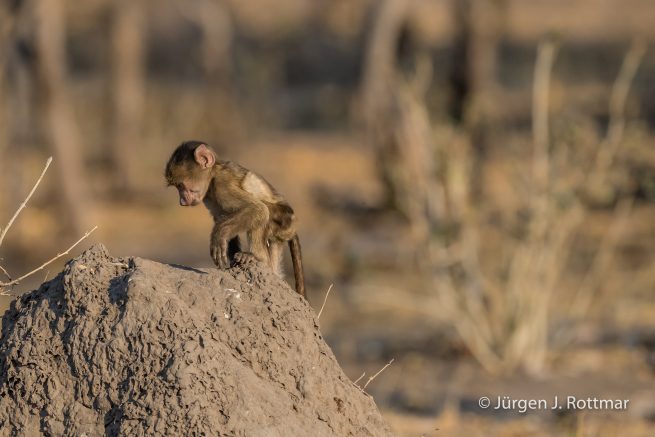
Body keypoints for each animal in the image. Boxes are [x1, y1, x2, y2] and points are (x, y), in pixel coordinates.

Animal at [165, 140, 305, 298]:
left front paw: (218, 236)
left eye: (180, 185)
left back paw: (258, 258)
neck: (213, 174)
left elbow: (257, 209)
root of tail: (293, 228)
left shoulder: (222, 185)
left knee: (265, 212)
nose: (182, 201)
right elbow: (222, 217)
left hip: (284, 221)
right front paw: (231, 261)